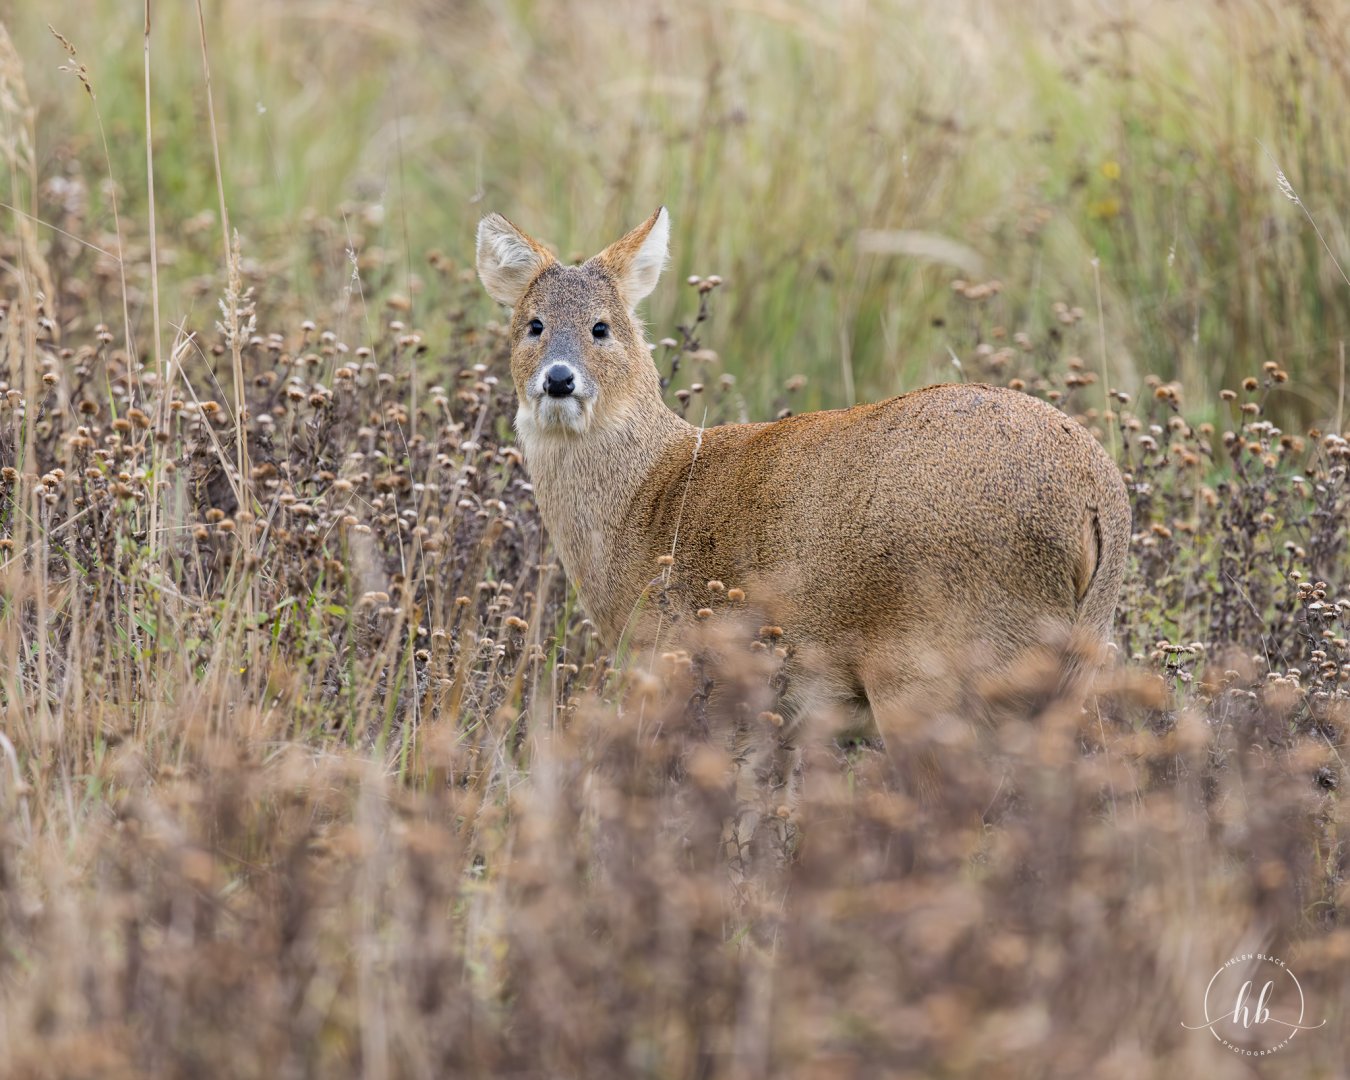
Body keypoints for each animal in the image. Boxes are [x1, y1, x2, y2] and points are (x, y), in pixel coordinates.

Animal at [476, 206, 1131, 741]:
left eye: (602, 326)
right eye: (533, 323)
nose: (560, 378)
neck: (648, 494)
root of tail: (1097, 501)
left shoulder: (676, 663)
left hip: (934, 672)